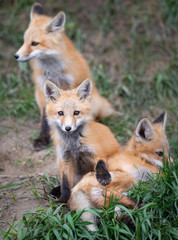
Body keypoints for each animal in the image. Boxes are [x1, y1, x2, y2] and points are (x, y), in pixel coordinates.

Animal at [15, 2, 114, 150]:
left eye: (34, 43)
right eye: (24, 41)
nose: (16, 56)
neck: (53, 70)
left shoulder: (71, 85)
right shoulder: (43, 89)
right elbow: (46, 118)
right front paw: (43, 138)